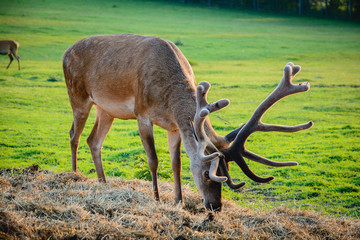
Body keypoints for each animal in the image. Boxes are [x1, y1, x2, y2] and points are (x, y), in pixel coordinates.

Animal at [62, 33, 312, 210]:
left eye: (227, 174)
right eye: (207, 173)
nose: (216, 206)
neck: (168, 97)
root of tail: (66, 51)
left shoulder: (174, 126)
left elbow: (177, 163)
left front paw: (178, 201)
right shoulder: (142, 114)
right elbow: (153, 160)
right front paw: (157, 199)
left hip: (106, 110)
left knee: (93, 140)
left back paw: (102, 182)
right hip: (77, 95)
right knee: (74, 135)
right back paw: (74, 175)